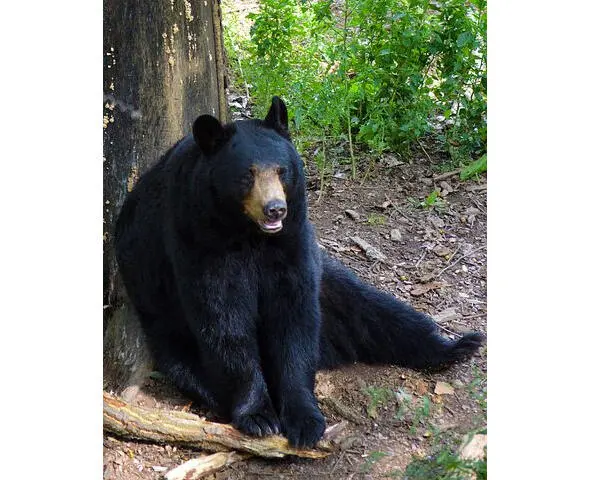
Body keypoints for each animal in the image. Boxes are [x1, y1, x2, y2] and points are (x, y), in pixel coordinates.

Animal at [115, 95, 486, 448]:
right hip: (163, 321)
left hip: (334, 287)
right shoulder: (196, 235)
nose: (275, 208)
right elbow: (223, 317)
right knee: (188, 364)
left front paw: (305, 418)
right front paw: (259, 415)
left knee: (379, 312)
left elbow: (293, 314)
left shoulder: (292, 239)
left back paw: (456, 346)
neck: (248, 234)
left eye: (282, 170)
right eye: (247, 174)